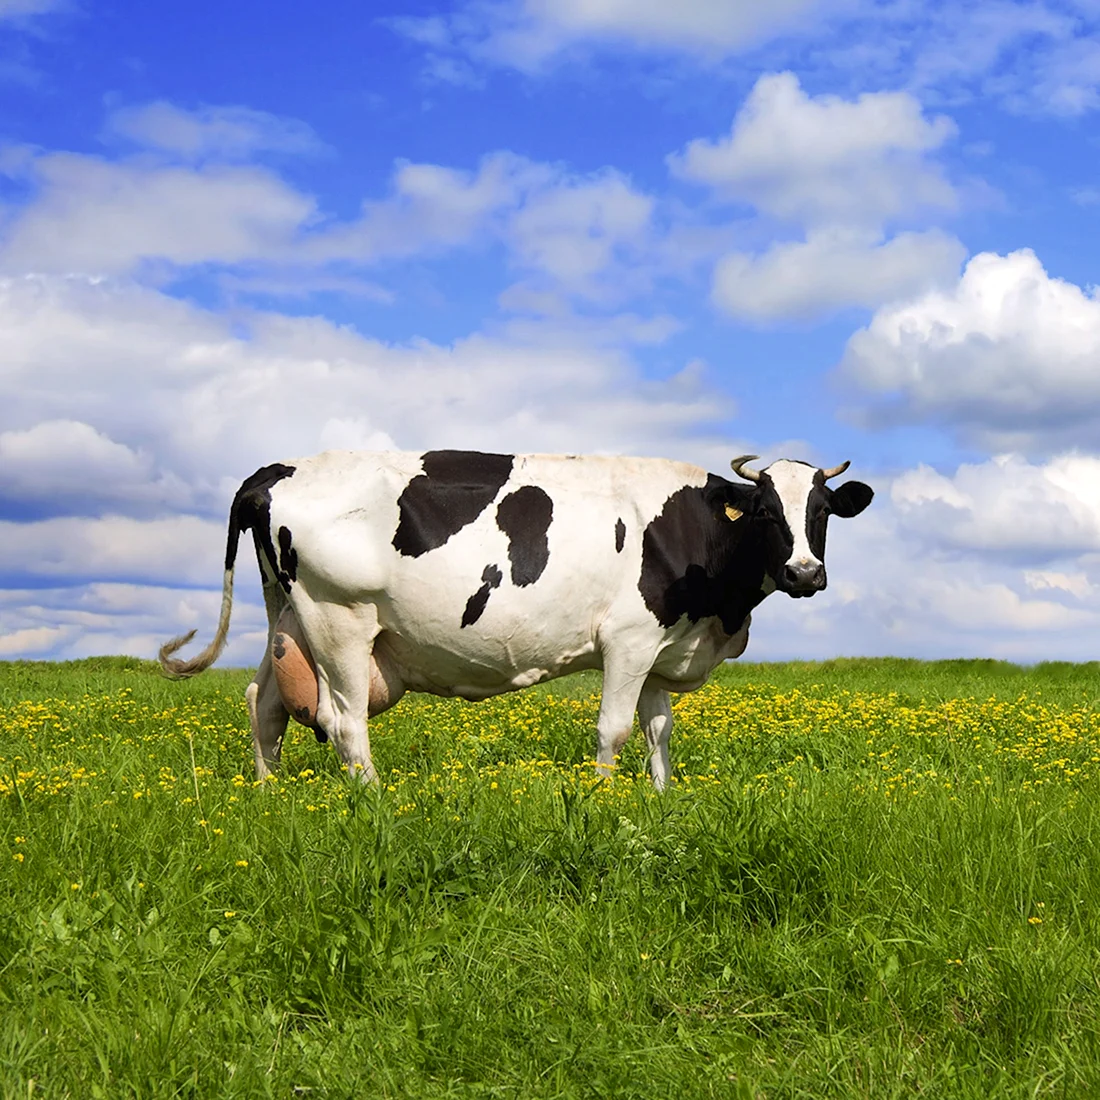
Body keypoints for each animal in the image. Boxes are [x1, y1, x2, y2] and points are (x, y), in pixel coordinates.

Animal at [159, 450, 872, 788]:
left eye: (823, 512)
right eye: (765, 511)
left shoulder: (663, 649)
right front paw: (606, 800)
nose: (804, 573)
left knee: (264, 702)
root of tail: (280, 468)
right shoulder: (628, 641)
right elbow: (614, 730)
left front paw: (661, 800)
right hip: (339, 618)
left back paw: (269, 795)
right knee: (343, 722)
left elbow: (658, 733)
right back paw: (378, 803)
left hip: (287, 616)